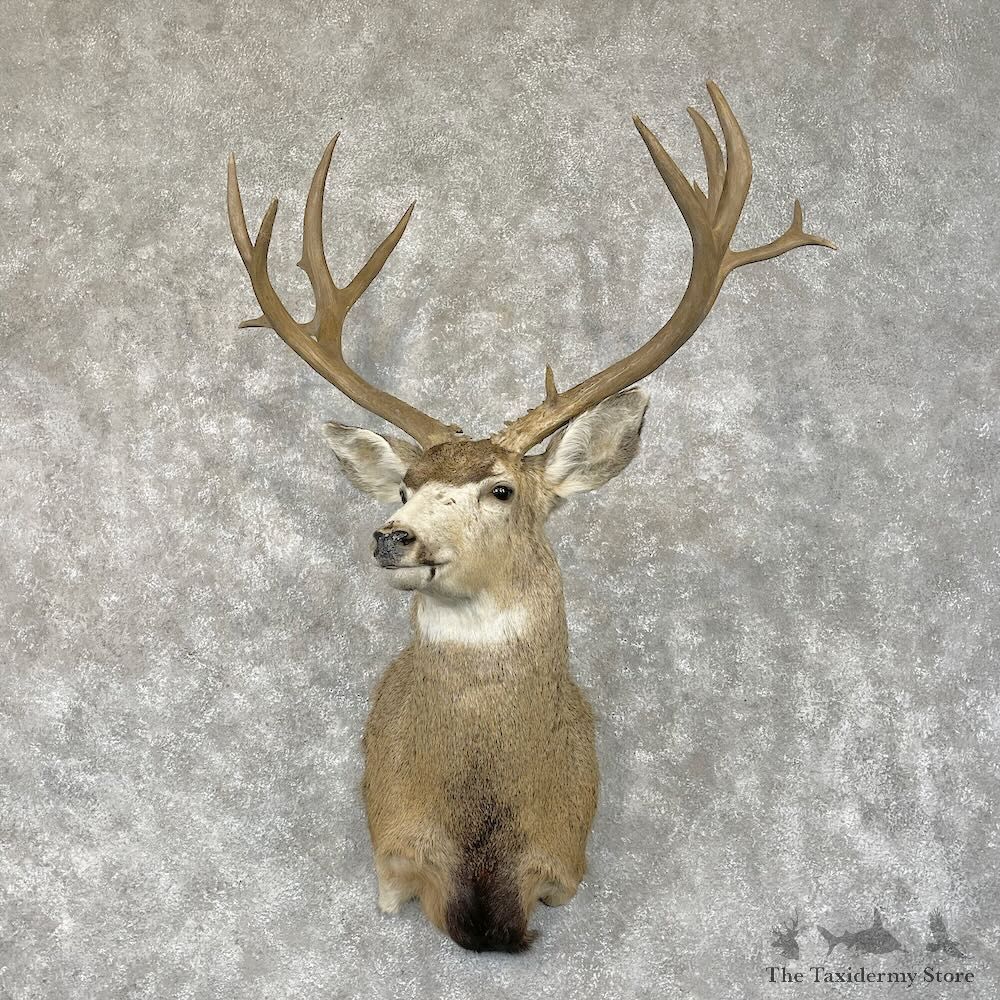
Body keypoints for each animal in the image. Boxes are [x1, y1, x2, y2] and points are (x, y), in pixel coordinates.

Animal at [226, 81, 834, 953]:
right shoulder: (392, 849)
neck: (483, 836)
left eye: (501, 490)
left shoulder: (565, 861)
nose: (393, 536)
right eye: (403, 485)